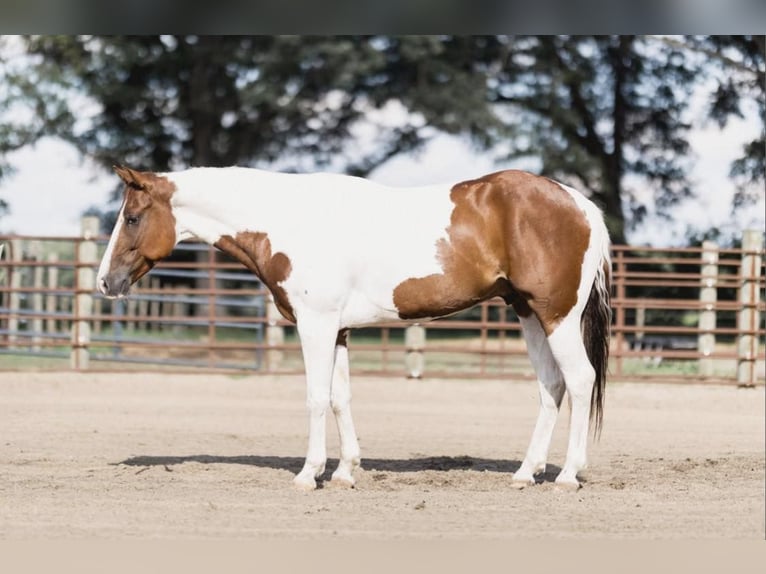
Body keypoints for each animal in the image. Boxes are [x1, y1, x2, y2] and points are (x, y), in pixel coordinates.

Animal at [97, 164, 612, 492]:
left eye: (132, 217)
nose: (105, 281)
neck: (290, 221)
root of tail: (581, 204)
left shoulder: (316, 326)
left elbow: (315, 398)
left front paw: (309, 475)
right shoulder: (338, 331)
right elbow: (340, 398)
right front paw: (345, 472)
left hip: (557, 316)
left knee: (579, 380)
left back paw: (568, 475)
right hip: (528, 314)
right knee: (551, 386)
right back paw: (526, 473)